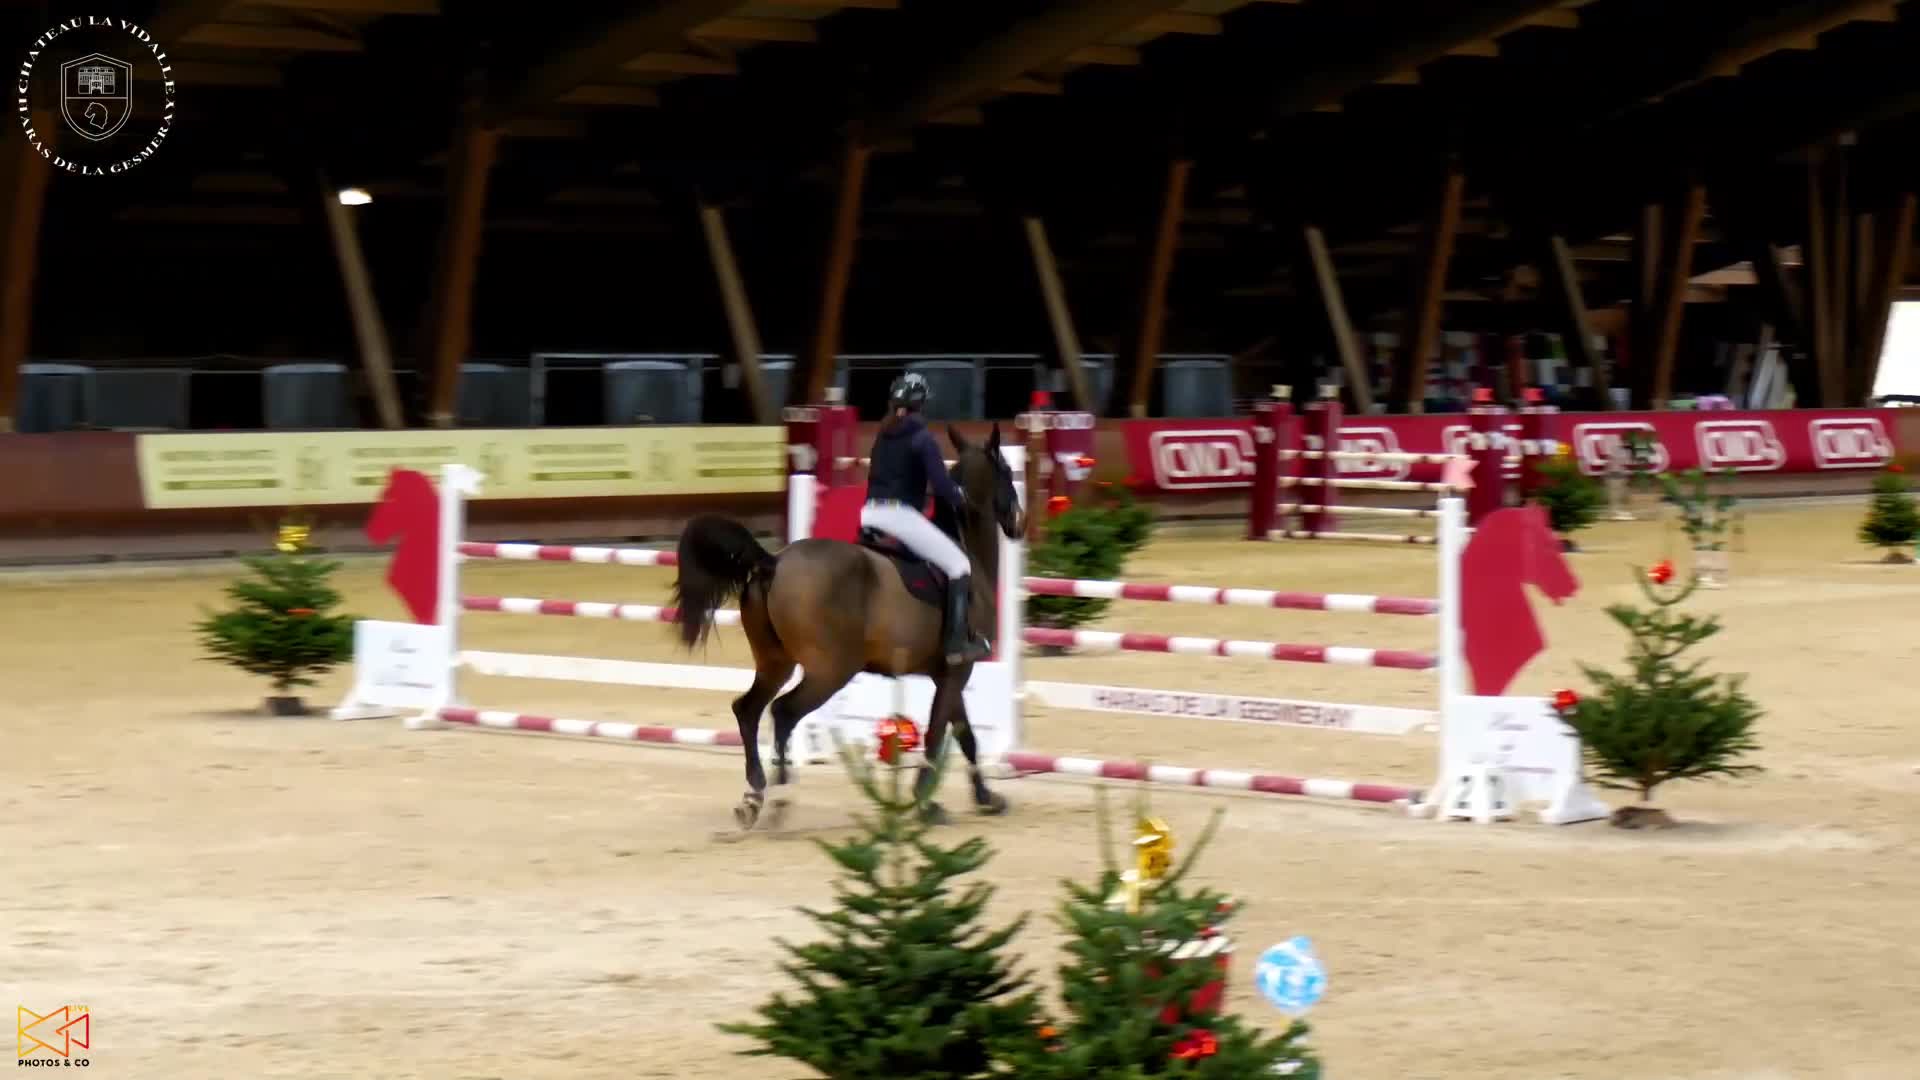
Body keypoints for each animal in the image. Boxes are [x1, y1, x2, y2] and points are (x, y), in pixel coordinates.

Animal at [670, 424, 1024, 828]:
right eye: (1006, 471)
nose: (1019, 522)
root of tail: (774, 562)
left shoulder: (945, 672)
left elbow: (965, 736)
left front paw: (986, 798)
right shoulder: (957, 669)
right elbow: (939, 733)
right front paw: (926, 802)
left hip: (776, 663)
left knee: (748, 710)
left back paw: (755, 795)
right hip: (831, 671)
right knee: (783, 712)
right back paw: (780, 795)